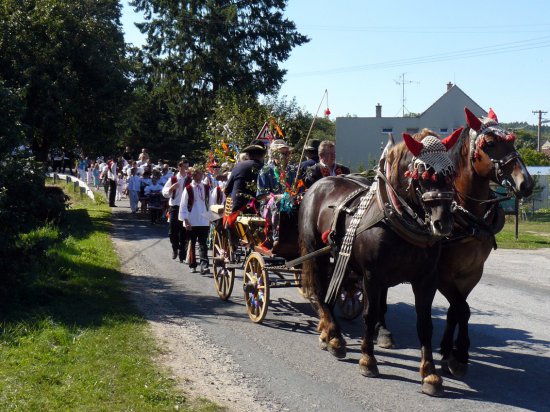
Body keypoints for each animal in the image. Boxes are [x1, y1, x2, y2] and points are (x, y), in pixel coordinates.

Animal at [300, 130, 464, 398]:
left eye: (451, 173)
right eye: (424, 175)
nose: (444, 223)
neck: (397, 218)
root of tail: (318, 184)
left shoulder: (426, 280)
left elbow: (425, 324)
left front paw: (430, 374)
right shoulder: (372, 276)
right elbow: (370, 315)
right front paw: (368, 360)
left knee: (330, 293)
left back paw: (329, 334)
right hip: (316, 254)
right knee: (321, 291)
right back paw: (334, 338)